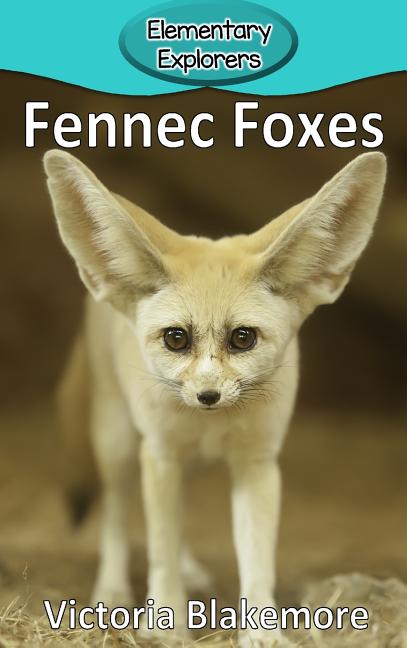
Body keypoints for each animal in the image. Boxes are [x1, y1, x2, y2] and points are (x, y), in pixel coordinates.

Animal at [44, 149, 386, 647]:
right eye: (176, 338)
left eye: (243, 338)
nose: (208, 394)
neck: (209, 424)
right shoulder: (160, 454)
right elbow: (160, 549)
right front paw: (166, 621)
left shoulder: (257, 463)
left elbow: (256, 558)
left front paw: (262, 631)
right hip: (119, 446)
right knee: (115, 514)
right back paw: (111, 589)